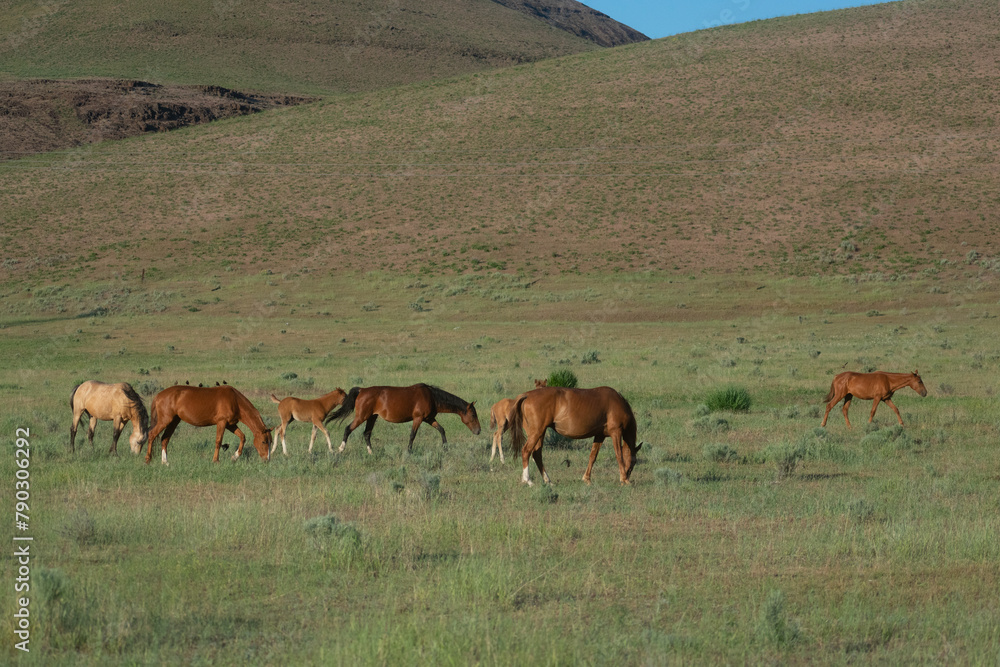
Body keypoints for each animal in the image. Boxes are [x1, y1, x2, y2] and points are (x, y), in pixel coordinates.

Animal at [146, 386, 274, 464]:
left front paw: (235, 457)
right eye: (264, 441)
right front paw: (215, 460)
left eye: (270, 442)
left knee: (165, 439)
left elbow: (242, 437)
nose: (267, 460)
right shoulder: (221, 423)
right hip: (165, 421)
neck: (235, 400)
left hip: (173, 421)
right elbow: (218, 441)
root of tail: (158, 395)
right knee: (151, 434)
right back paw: (148, 459)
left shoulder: (230, 425)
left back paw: (165, 462)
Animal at [326, 386, 482, 454]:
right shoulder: (418, 418)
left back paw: (371, 452)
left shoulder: (429, 418)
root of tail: (362, 390)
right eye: (473, 415)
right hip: (362, 416)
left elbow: (441, 430)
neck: (431, 396)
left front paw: (445, 448)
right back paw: (340, 449)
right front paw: (409, 451)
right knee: (348, 429)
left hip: (372, 417)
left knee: (367, 434)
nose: (478, 431)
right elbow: (412, 435)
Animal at [508, 386, 640, 486]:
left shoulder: (599, 435)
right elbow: (619, 455)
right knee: (526, 451)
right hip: (536, 433)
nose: (628, 475)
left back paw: (548, 481)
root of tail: (527, 395)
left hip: (540, 433)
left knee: (536, 454)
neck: (616, 403)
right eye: (633, 463)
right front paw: (624, 479)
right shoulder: (616, 432)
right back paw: (528, 480)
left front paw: (587, 479)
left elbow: (593, 456)